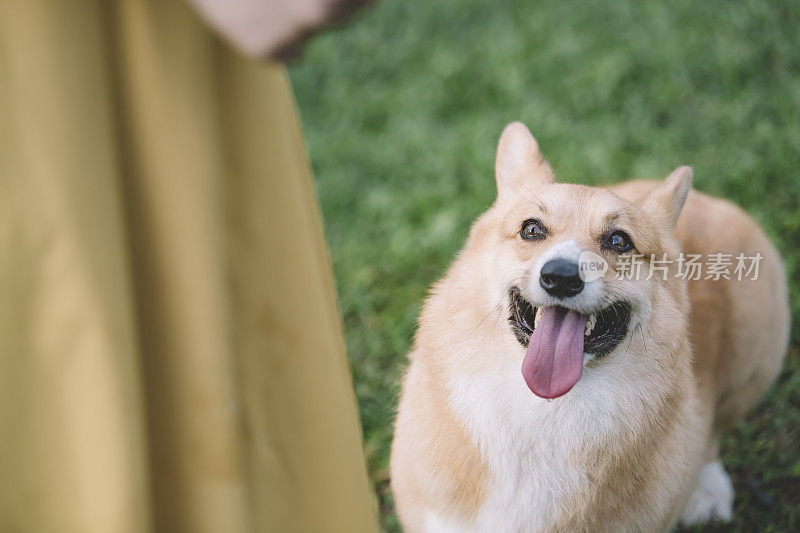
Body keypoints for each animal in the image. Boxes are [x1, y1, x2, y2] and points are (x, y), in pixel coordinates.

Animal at [388, 122, 788, 528]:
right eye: (531, 229)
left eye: (619, 240)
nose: (562, 278)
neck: (549, 411)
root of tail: (710, 199)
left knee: (714, 429)